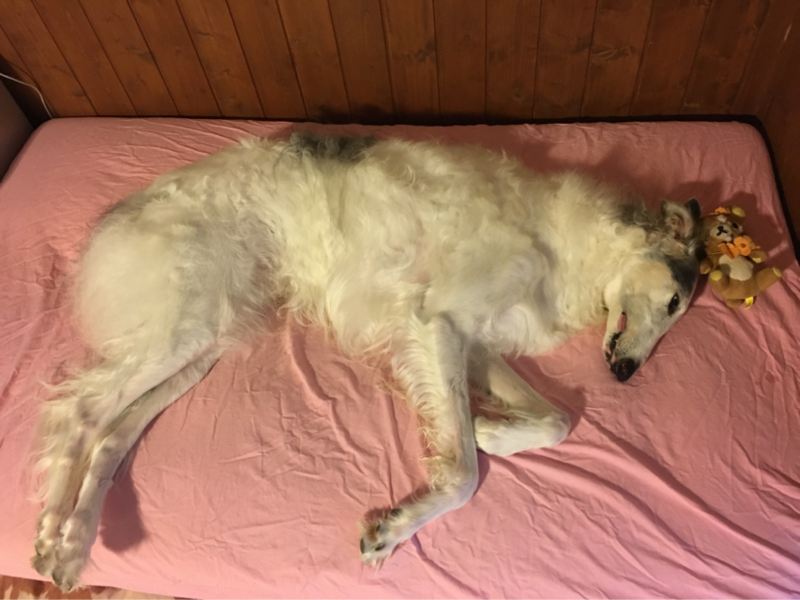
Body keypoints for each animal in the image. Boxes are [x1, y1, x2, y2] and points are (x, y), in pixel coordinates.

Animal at [31, 132, 703, 591]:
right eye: (673, 301)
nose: (625, 373)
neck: (565, 242)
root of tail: (119, 215)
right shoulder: (437, 324)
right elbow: (464, 475)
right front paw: (395, 526)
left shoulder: (476, 344)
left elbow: (557, 419)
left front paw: (490, 429)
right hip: (187, 321)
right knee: (81, 411)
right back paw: (48, 534)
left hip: (208, 339)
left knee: (113, 433)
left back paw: (73, 546)